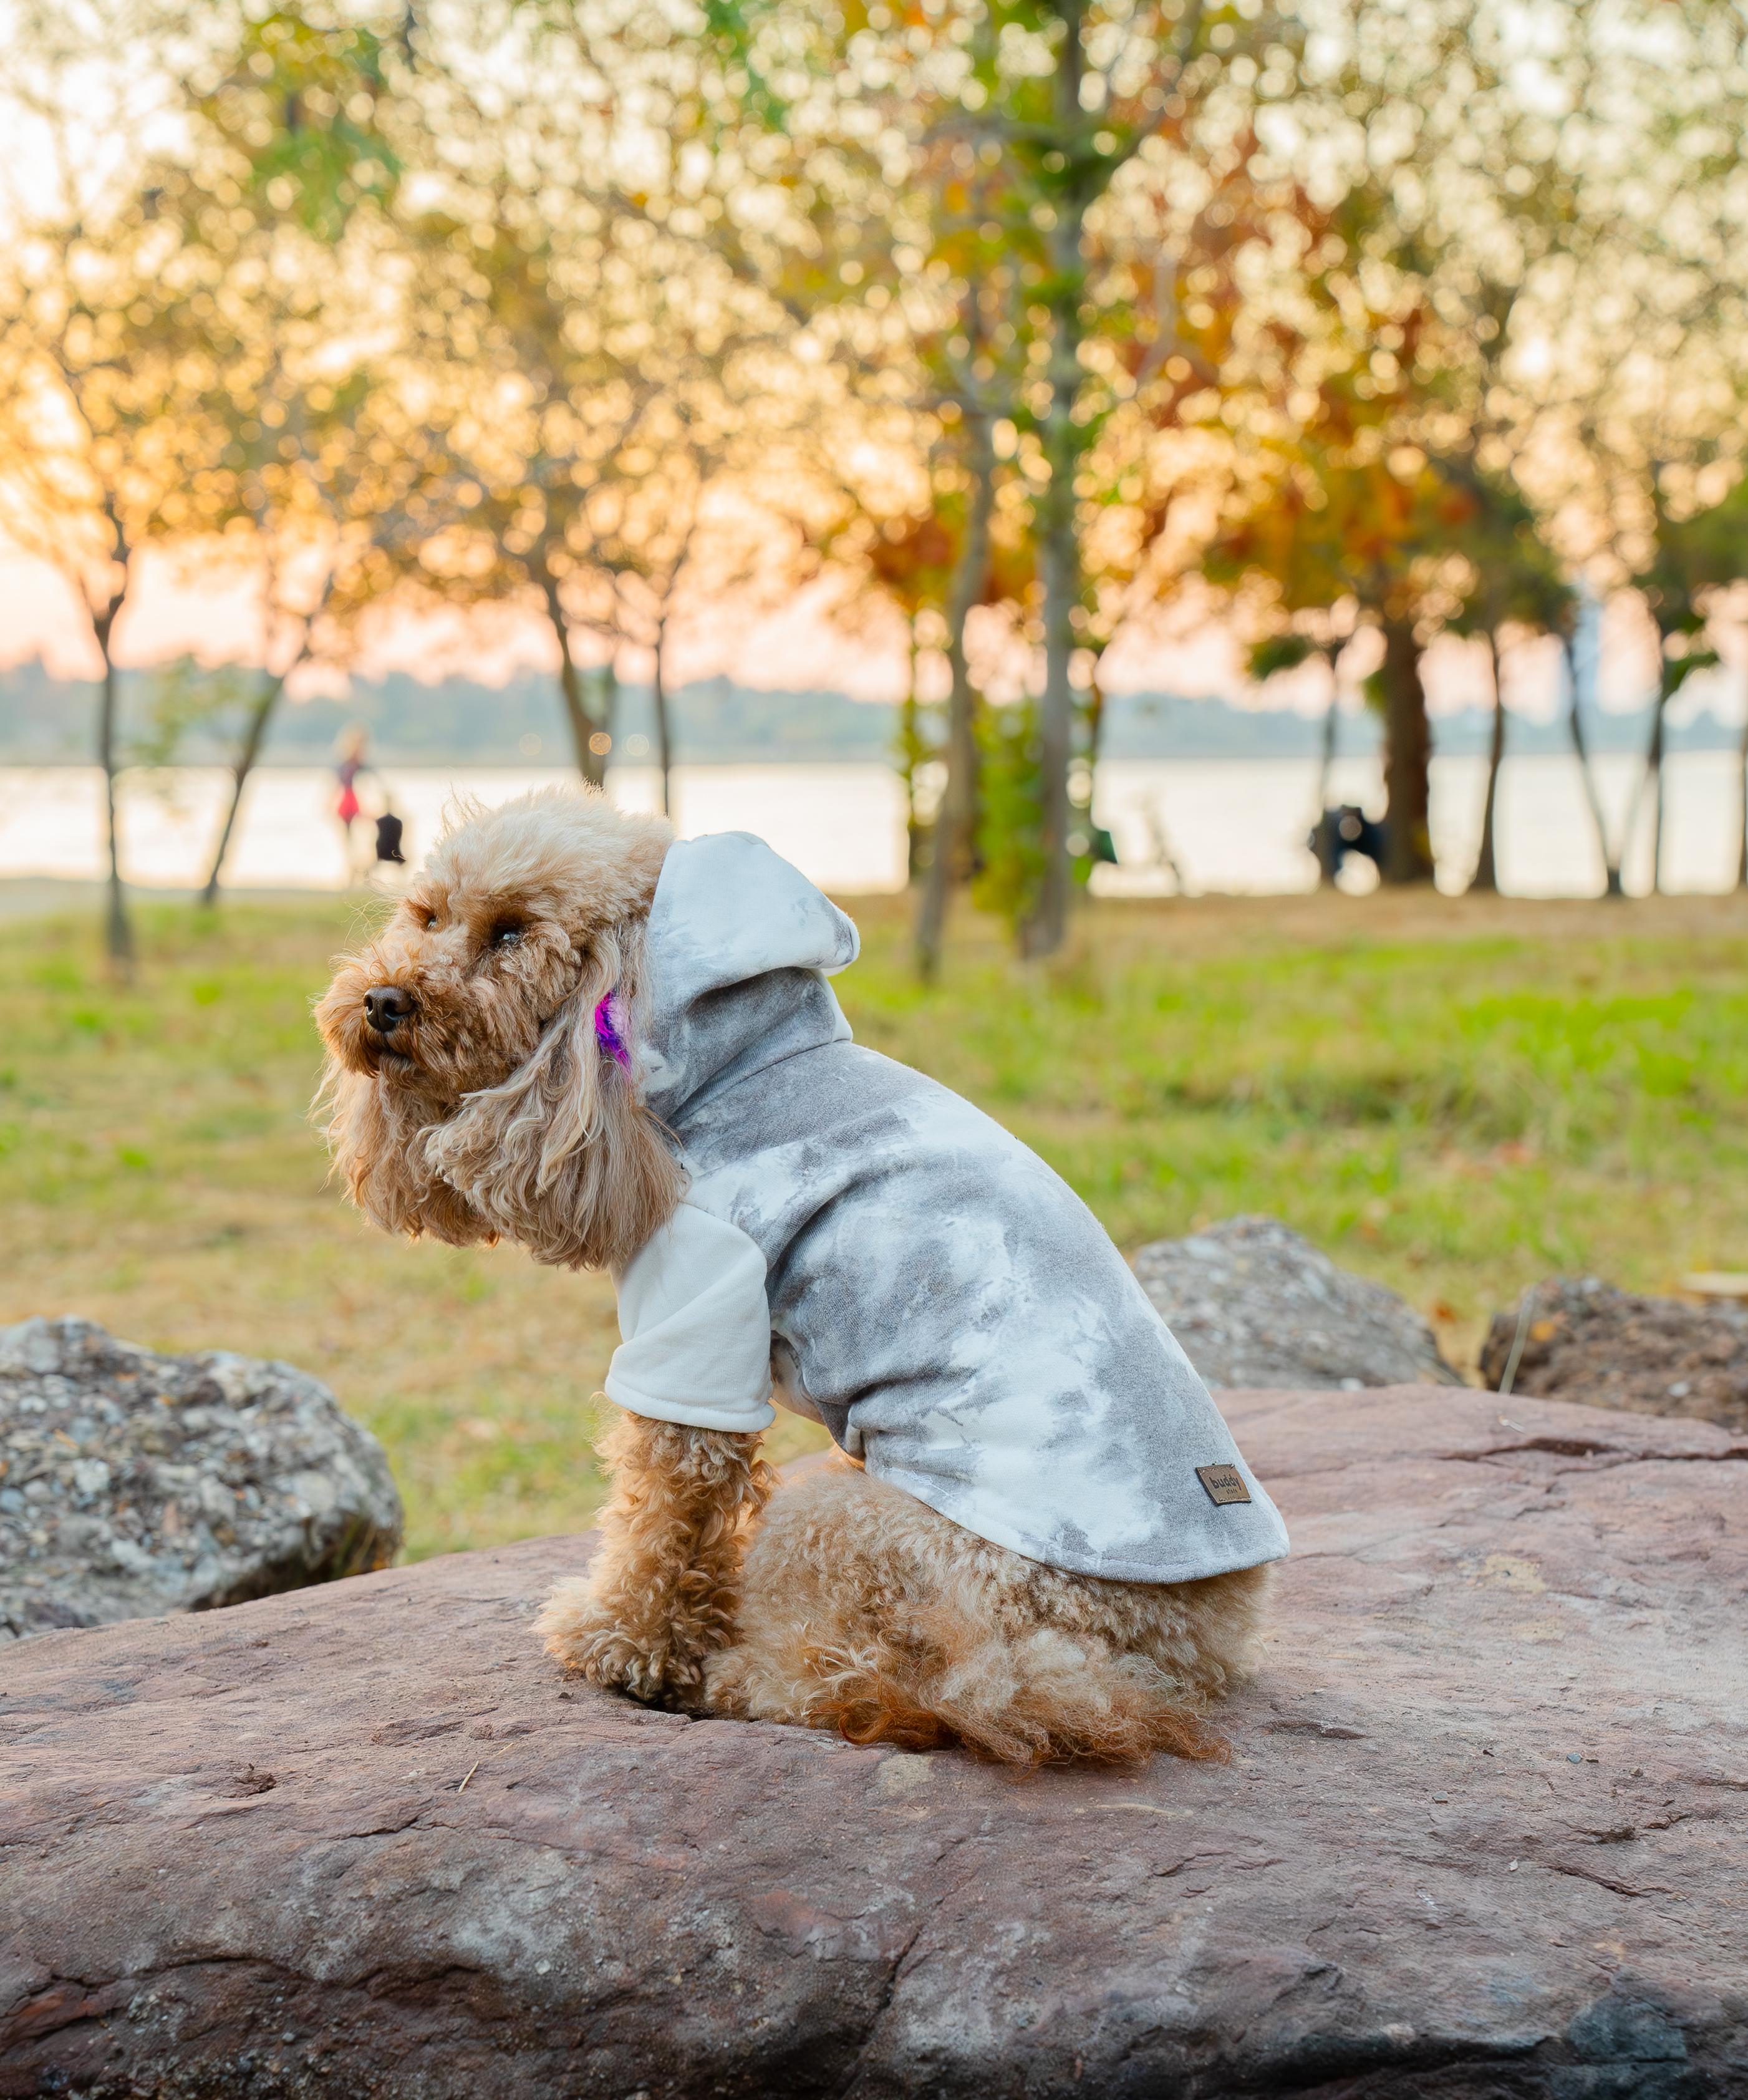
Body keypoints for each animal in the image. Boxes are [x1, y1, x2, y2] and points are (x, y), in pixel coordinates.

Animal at [317, 793, 1285, 1764]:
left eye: (513, 931)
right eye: (426, 915)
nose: (382, 1000)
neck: (719, 1070)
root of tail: (1158, 1656)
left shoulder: (703, 1301)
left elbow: (660, 1510)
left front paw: (618, 1640)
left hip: (855, 1531)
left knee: (879, 1680)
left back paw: (741, 1675)